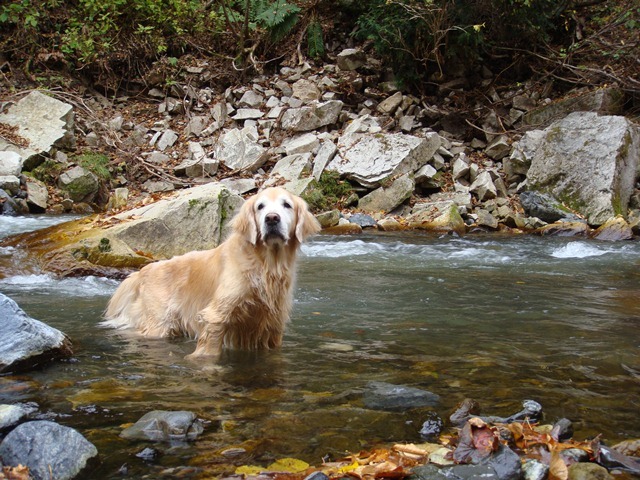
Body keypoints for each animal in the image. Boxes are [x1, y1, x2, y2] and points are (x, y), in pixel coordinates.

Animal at [104, 186, 320, 358]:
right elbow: (210, 349)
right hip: (159, 323)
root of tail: (143, 270)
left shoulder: (273, 323)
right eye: (260, 206)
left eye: (287, 205)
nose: (272, 219)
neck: (264, 263)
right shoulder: (217, 314)